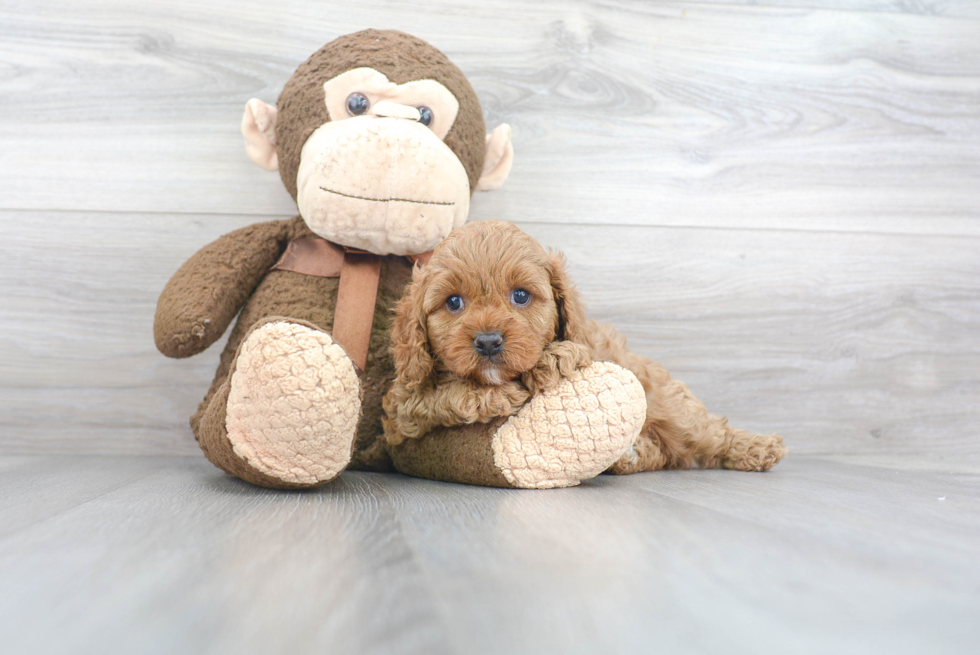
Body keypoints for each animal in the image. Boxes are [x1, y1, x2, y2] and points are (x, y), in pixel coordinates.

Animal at [382, 223, 788, 474]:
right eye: (453, 303)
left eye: (520, 296)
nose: (487, 341)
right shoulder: (400, 411)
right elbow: (436, 396)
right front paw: (490, 395)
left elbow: (572, 351)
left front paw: (552, 360)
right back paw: (632, 454)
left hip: (667, 403)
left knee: (709, 432)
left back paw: (758, 448)